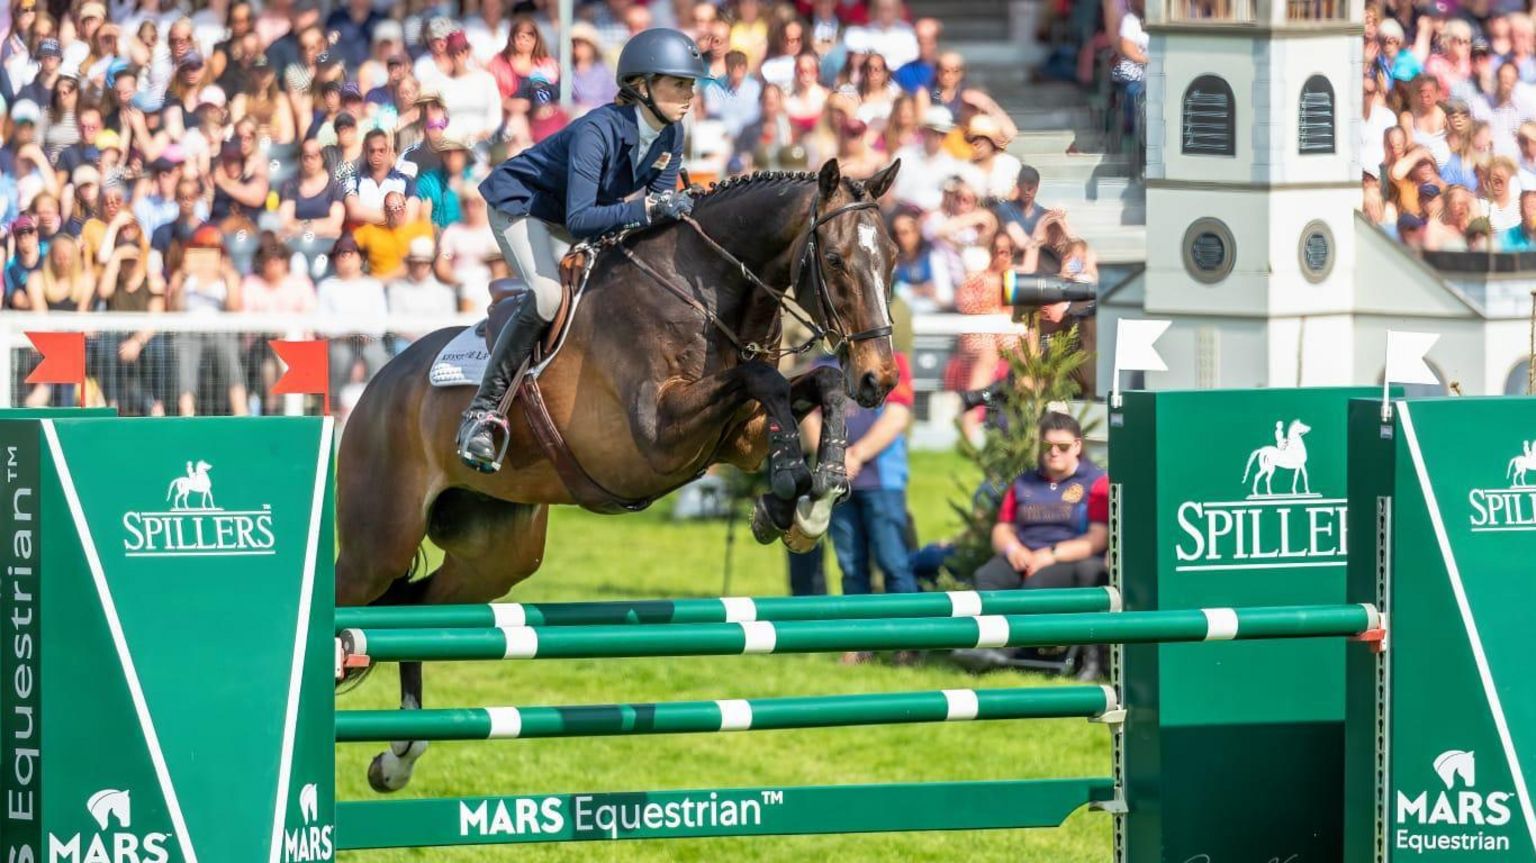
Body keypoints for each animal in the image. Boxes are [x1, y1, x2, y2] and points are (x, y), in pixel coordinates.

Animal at [333, 158, 897, 792]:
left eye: (893, 257)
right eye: (836, 261)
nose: (879, 378)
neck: (705, 293)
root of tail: (376, 385)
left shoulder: (741, 436)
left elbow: (814, 384)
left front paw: (807, 501)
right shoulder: (653, 438)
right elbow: (765, 380)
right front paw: (788, 493)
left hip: (497, 557)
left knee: (416, 608)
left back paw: (399, 755)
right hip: (379, 543)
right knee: (361, 597)